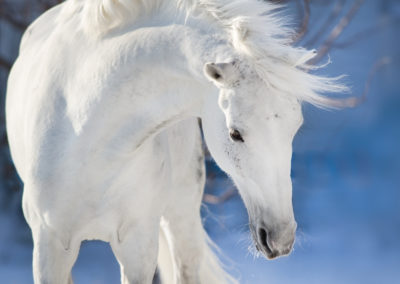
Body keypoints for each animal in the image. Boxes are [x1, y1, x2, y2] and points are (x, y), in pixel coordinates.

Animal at [4, 0, 346, 284]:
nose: (280, 238)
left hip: (181, 216)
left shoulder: (138, 245)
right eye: (235, 133)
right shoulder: (48, 248)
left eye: (295, 128)